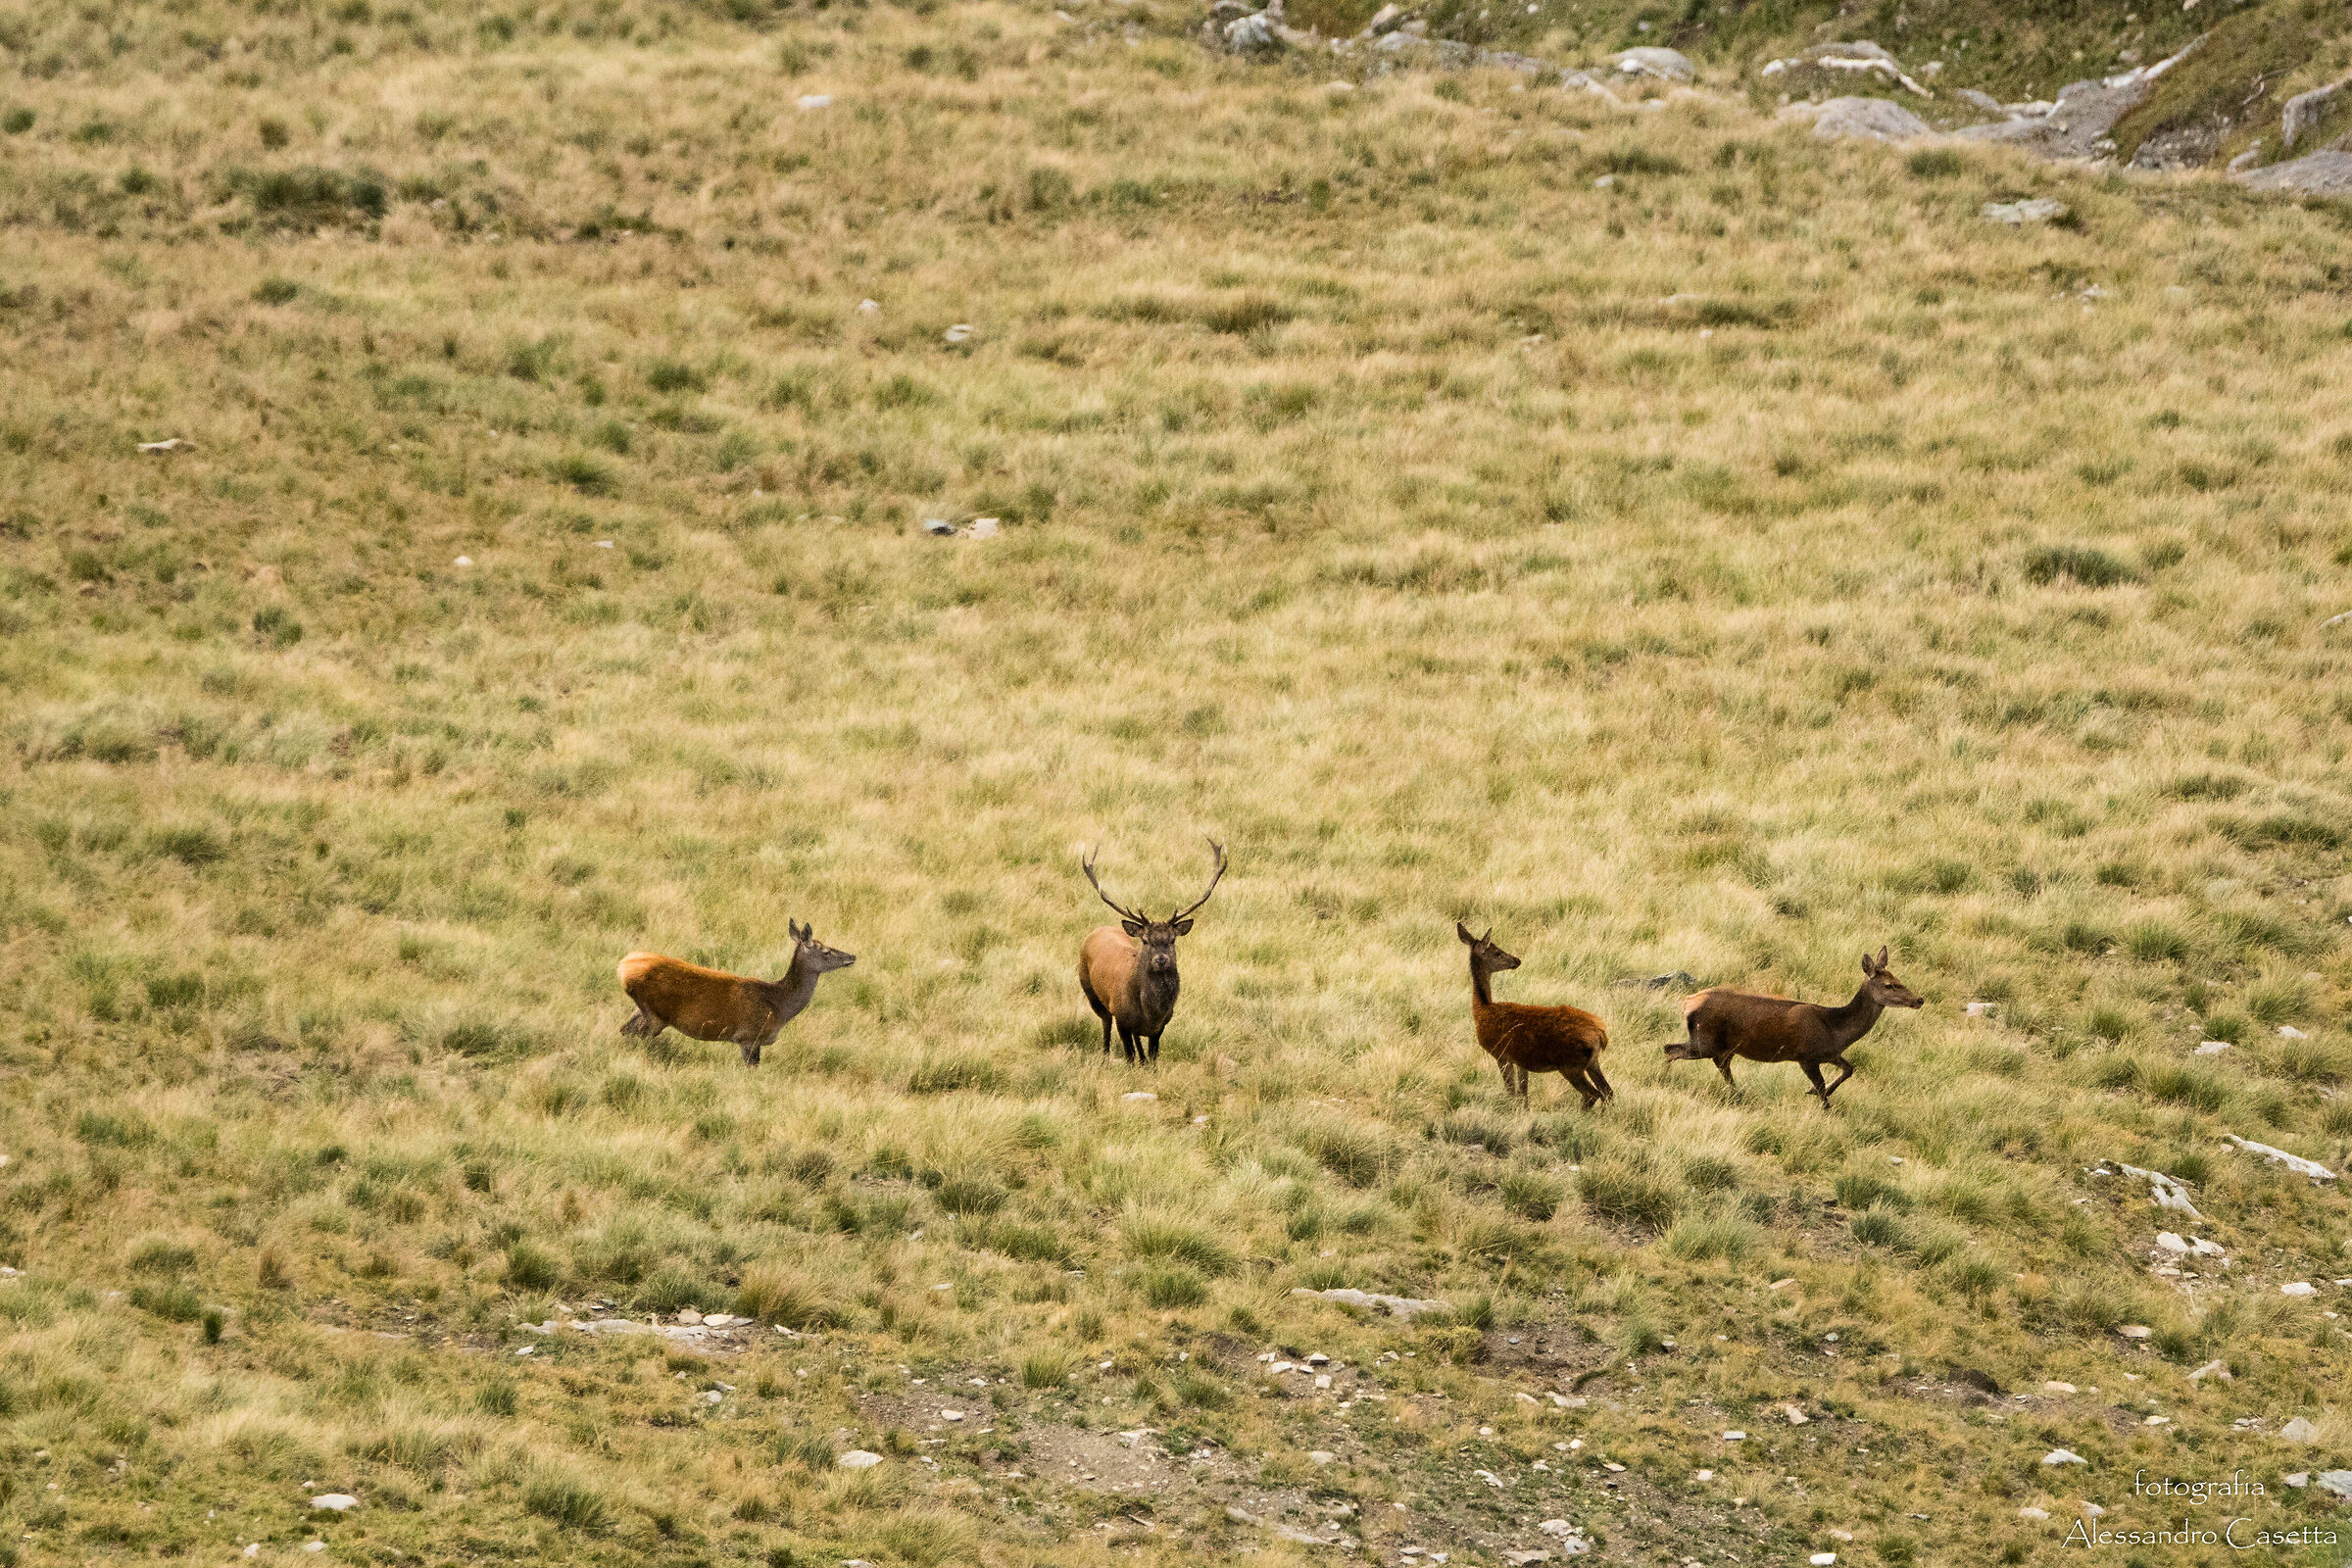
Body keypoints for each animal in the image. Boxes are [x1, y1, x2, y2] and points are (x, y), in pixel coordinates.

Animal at [616, 921, 855, 1066]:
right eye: (825, 951)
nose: (851, 956)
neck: (779, 1005)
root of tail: (622, 968)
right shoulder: (749, 1036)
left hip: (641, 1010)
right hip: (655, 1014)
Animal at [1077, 838, 1227, 1067]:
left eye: (1172, 939)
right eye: (1145, 940)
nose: (1161, 960)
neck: (1150, 1013)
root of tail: (1098, 929)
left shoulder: (1161, 1026)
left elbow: (1153, 1059)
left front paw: (1148, 1066)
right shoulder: (1122, 1020)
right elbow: (1129, 1055)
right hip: (1091, 991)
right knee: (1105, 1022)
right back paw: (1105, 1056)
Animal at [1458, 923, 1614, 1108]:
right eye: (1497, 952)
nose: (1516, 960)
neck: (1482, 1010)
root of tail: (1601, 1033)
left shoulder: (1501, 1054)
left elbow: (1511, 1092)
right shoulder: (1520, 1060)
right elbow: (1523, 1095)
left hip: (1570, 1064)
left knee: (1592, 1094)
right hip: (1592, 1062)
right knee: (1607, 1091)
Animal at [1663, 946, 1922, 1108]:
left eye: (1899, 979)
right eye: (1889, 985)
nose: (1919, 1000)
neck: (1834, 1028)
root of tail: (1688, 1002)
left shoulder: (1829, 1053)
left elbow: (1849, 1069)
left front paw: (1815, 1092)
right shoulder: (1805, 1055)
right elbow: (1822, 1088)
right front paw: (1822, 1103)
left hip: (1722, 1047)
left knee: (1718, 1066)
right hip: (1705, 1039)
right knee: (1670, 1049)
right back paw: (1665, 1078)